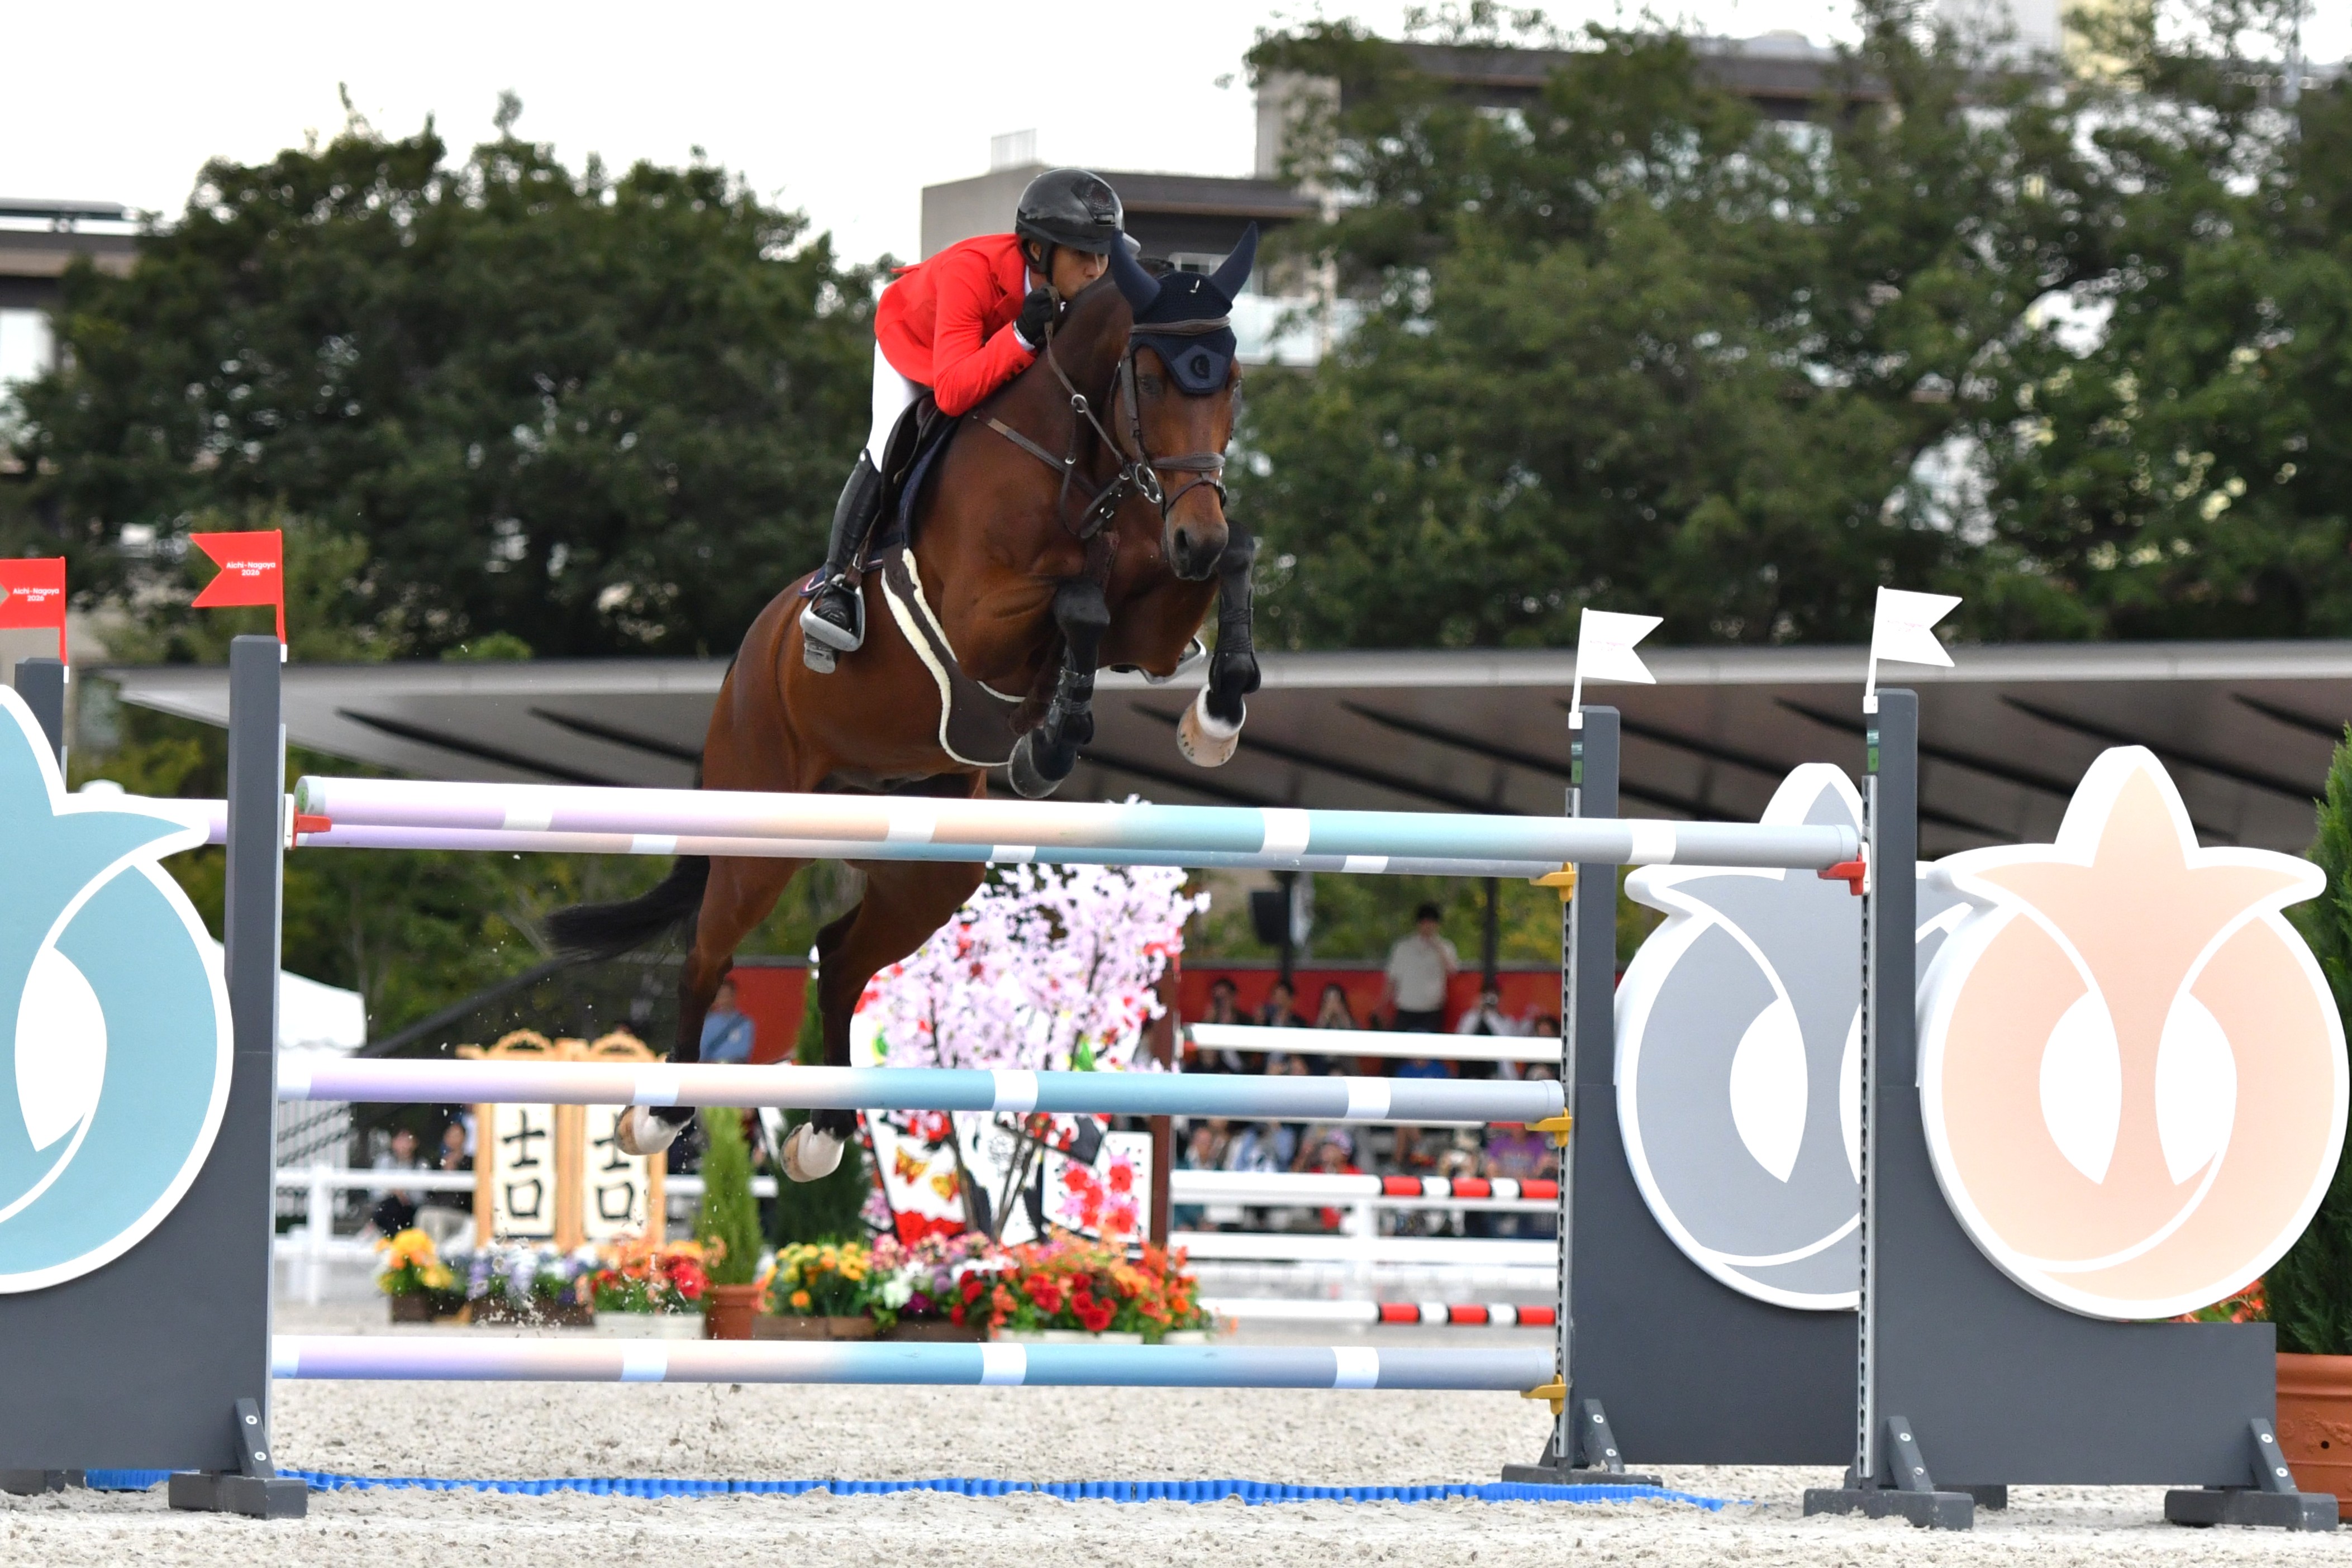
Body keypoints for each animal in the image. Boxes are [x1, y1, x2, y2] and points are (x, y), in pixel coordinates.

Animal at [546, 231, 1263, 1178]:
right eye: (1148, 377)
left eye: (1231, 380)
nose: (1194, 532)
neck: (1079, 454)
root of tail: (746, 659)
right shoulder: (983, 620)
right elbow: (1077, 598)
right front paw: (1051, 740)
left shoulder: (1149, 618)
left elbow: (1222, 564)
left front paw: (1213, 715)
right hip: (762, 826)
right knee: (708, 948)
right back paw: (661, 1115)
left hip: (926, 865)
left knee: (841, 954)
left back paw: (823, 1132)